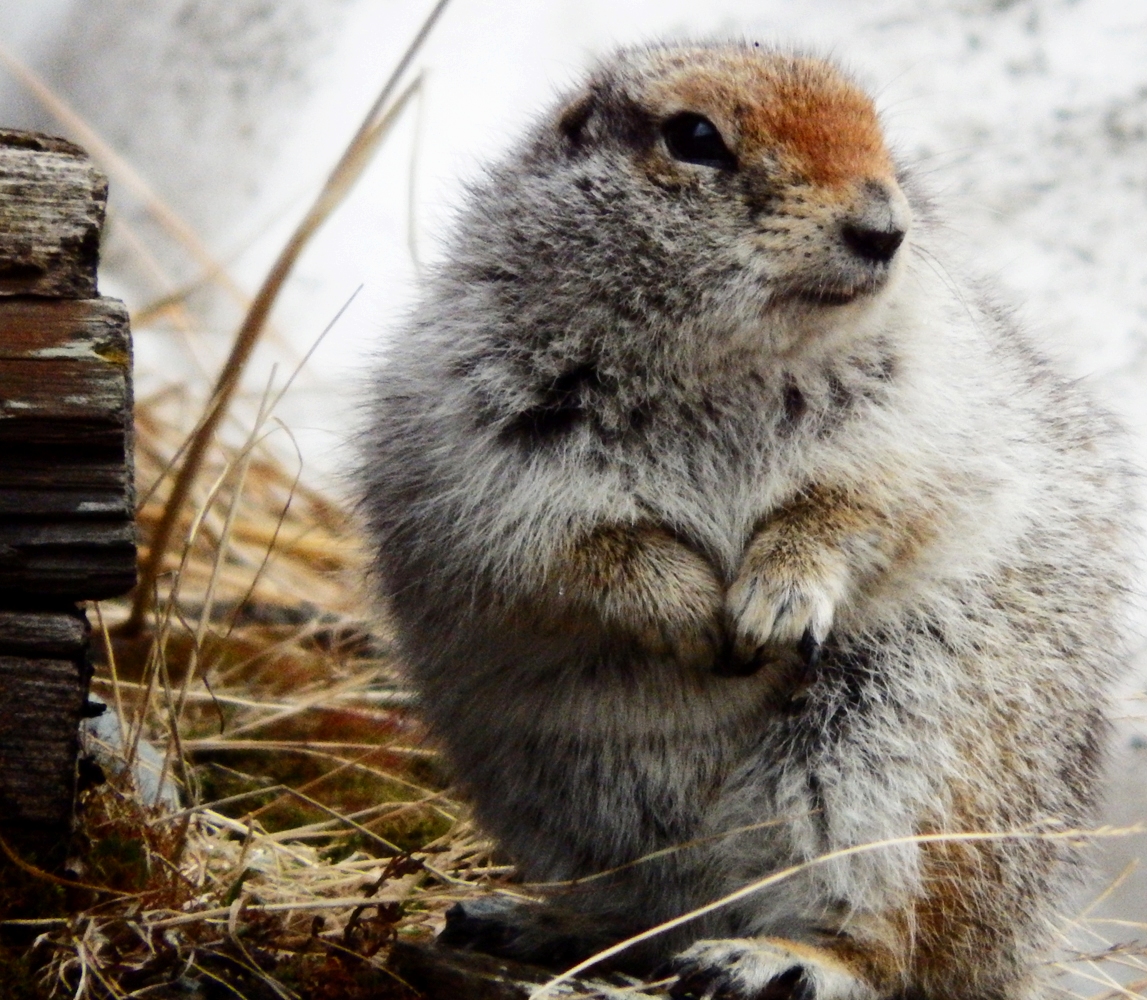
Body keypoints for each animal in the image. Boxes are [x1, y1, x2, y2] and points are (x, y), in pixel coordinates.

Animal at [360, 43, 1137, 999]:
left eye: (880, 134)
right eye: (694, 137)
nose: (884, 229)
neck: (718, 364)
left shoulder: (918, 418)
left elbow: (850, 508)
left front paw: (776, 601)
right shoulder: (485, 431)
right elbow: (577, 543)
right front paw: (690, 610)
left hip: (895, 765)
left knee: (891, 941)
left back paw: (777, 958)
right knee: (645, 918)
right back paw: (533, 920)